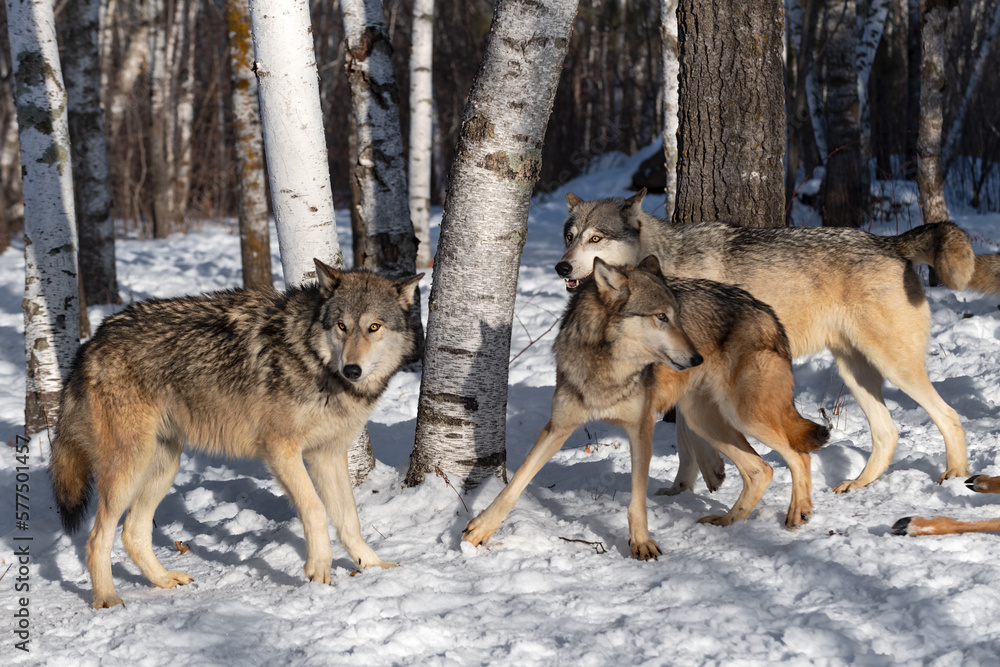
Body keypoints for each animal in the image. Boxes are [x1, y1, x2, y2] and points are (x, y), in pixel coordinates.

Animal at [50, 260, 422, 609]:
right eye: (342, 326)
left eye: (374, 327)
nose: (352, 369)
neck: (314, 360)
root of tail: (93, 341)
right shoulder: (281, 449)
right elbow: (315, 509)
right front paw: (319, 568)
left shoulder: (326, 454)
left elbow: (349, 518)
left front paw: (372, 564)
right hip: (129, 466)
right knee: (97, 537)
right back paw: (107, 598)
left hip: (164, 465)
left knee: (132, 533)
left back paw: (164, 580)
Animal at [463, 257, 829, 558]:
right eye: (661, 317)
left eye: (678, 318)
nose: (697, 358)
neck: (609, 369)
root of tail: (767, 311)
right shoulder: (558, 427)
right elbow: (515, 484)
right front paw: (479, 530)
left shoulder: (642, 428)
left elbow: (636, 500)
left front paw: (641, 543)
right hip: (704, 421)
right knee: (761, 470)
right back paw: (727, 521)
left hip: (745, 417)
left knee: (799, 455)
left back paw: (798, 511)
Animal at [556, 190, 979, 494]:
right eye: (570, 237)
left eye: (596, 238)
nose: (562, 266)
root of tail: (889, 243)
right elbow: (687, 438)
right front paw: (682, 488)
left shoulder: (692, 367)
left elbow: (689, 435)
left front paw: (709, 476)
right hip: (854, 371)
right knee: (888, 432)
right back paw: (858, 484)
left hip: (894, 366)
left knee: (949, 416)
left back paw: (955, 475)